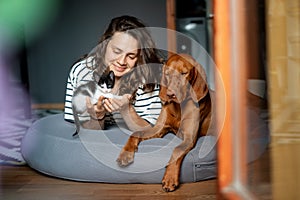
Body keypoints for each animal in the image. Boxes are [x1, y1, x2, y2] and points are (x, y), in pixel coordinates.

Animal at [116, 53, 212, 192]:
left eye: (184, 73)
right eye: (167, 73)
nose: (170, 94)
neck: (179, 107)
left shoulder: (189, 138)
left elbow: (176, 149)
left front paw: (170, 178)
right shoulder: (159, 129)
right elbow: (136, 133)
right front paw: (125, 154)